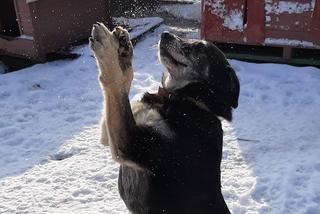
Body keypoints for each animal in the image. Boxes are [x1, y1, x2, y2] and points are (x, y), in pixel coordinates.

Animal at [89, 23, 239, 214]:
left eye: (199, 47)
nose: (165, 34)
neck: (186, 100)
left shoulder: (131, 144)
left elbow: (114, 80)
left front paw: (107, 46)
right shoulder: (110, 136)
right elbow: (123, 82)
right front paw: (123, 50)